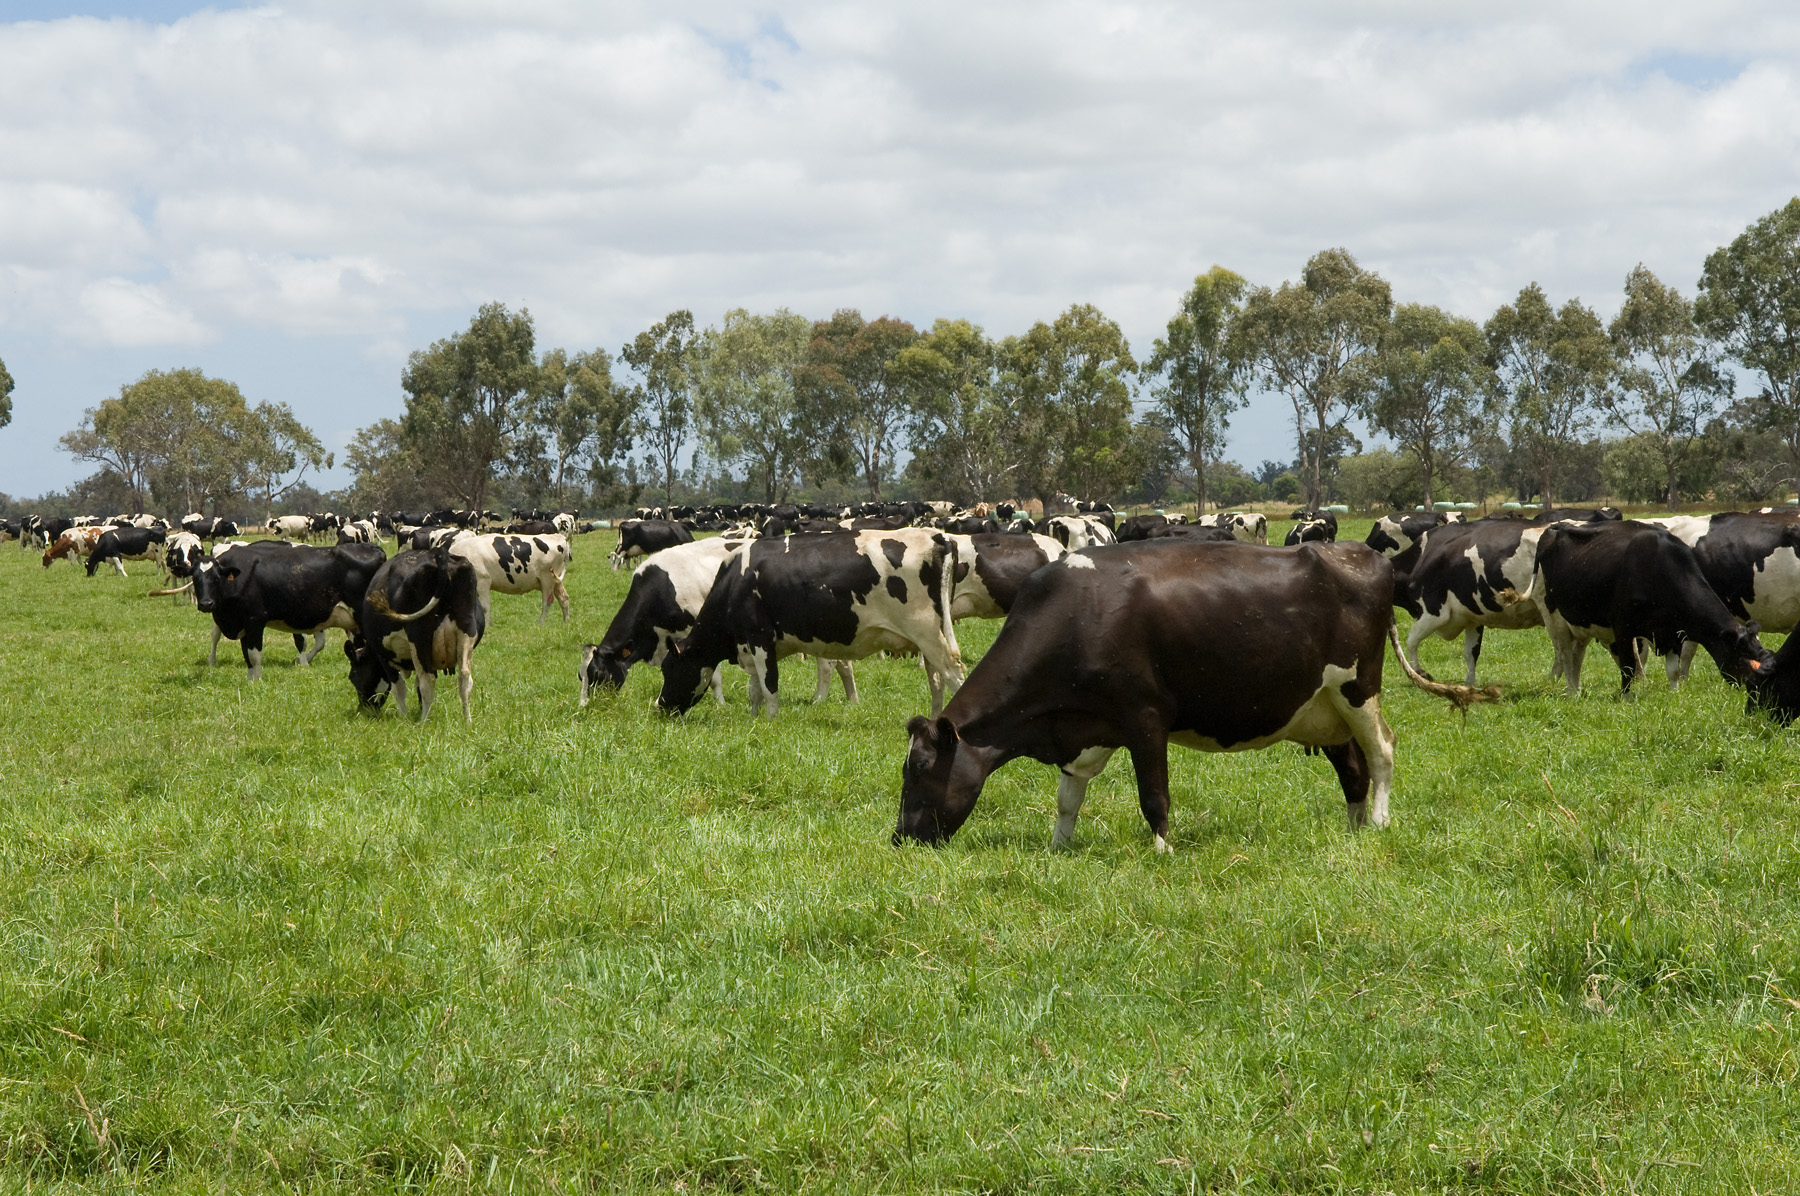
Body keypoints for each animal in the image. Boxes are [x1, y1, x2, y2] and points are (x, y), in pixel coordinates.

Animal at [342, 547, 486, 724]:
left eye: (353, 677)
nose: (363, 711)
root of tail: (439, 553)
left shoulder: (384, 656)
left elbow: (399, 687)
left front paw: (403, 717)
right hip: (466, 629)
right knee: (465, 678)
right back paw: (467, 721)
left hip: (419, 637)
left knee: (428, 681)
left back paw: (423, 722)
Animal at [662, 529, 972, 713]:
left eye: (669, 669)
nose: (660, 705)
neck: (736, 581)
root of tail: (935, 535)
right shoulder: (754, 645)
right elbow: (755, 689)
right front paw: (754, 719)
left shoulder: (760, 637)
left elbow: (769, 687)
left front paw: (770, 723)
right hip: (931, 637)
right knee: (936, 680)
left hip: (927, 633)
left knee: (953, 674)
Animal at [889, 536, 1490, 853]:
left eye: (919, 770)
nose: (900, 839)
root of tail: (1364, 554)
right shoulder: (1088, 726)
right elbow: (1068, 796)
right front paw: (1059, 848)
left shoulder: (1145, 716)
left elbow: (1153, 794)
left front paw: (1163, 850)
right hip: (1319, 707)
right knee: (1353, 770)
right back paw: (1354, 828)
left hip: (1356, 687)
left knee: (1383, 751)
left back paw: (1380, 823)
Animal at [1526, 522, 1778, 695]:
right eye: (1745, 659)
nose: (1756, 691)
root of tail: (1556, 527)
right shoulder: (1623, 628)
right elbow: (1628, 666)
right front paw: (1626, 697)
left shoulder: (1674, 632)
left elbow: (1673, 670)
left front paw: (1674, 694)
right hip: (1555, 617)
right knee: (1565, 655)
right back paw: (1571, 692)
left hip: (1581, 623)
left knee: (1577, 654)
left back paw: (1577, 690)